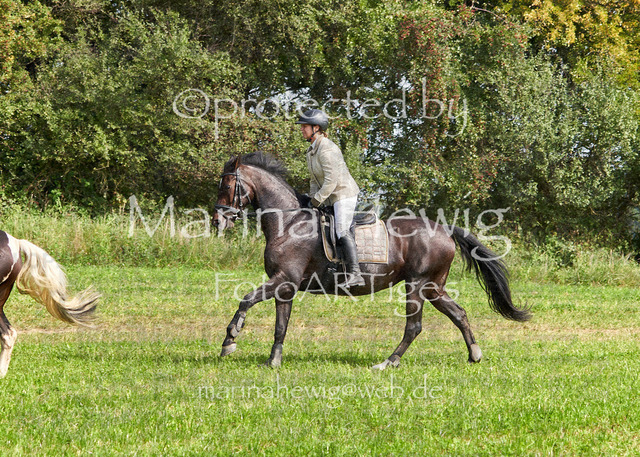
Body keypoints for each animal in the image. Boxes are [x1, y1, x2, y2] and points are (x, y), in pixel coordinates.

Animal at [213, 152, 530, 369]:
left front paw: (230, 339)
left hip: (417, 285)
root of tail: (444, 228)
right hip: (434, 287)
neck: (288, 222)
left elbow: (246, 299)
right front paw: (273, 360)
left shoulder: (282, 280)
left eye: (227, 186)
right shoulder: (285, 286)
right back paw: (474, 354)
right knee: (459, 313)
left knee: (414, 327)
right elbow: (281, 324)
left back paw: (388, 362)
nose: (217, 220)